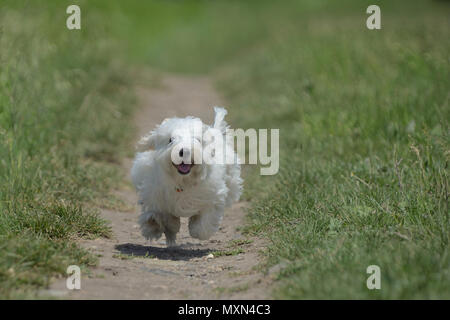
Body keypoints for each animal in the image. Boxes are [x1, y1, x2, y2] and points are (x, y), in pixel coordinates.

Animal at [131, 106, 243, 246]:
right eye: (170, 139)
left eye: (197, 140)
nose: (184, 151)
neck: (183, 181)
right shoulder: (155, 194)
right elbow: (160, 214)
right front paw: (154, 223)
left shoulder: (212, 197)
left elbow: (203, 223)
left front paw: (196, 230)